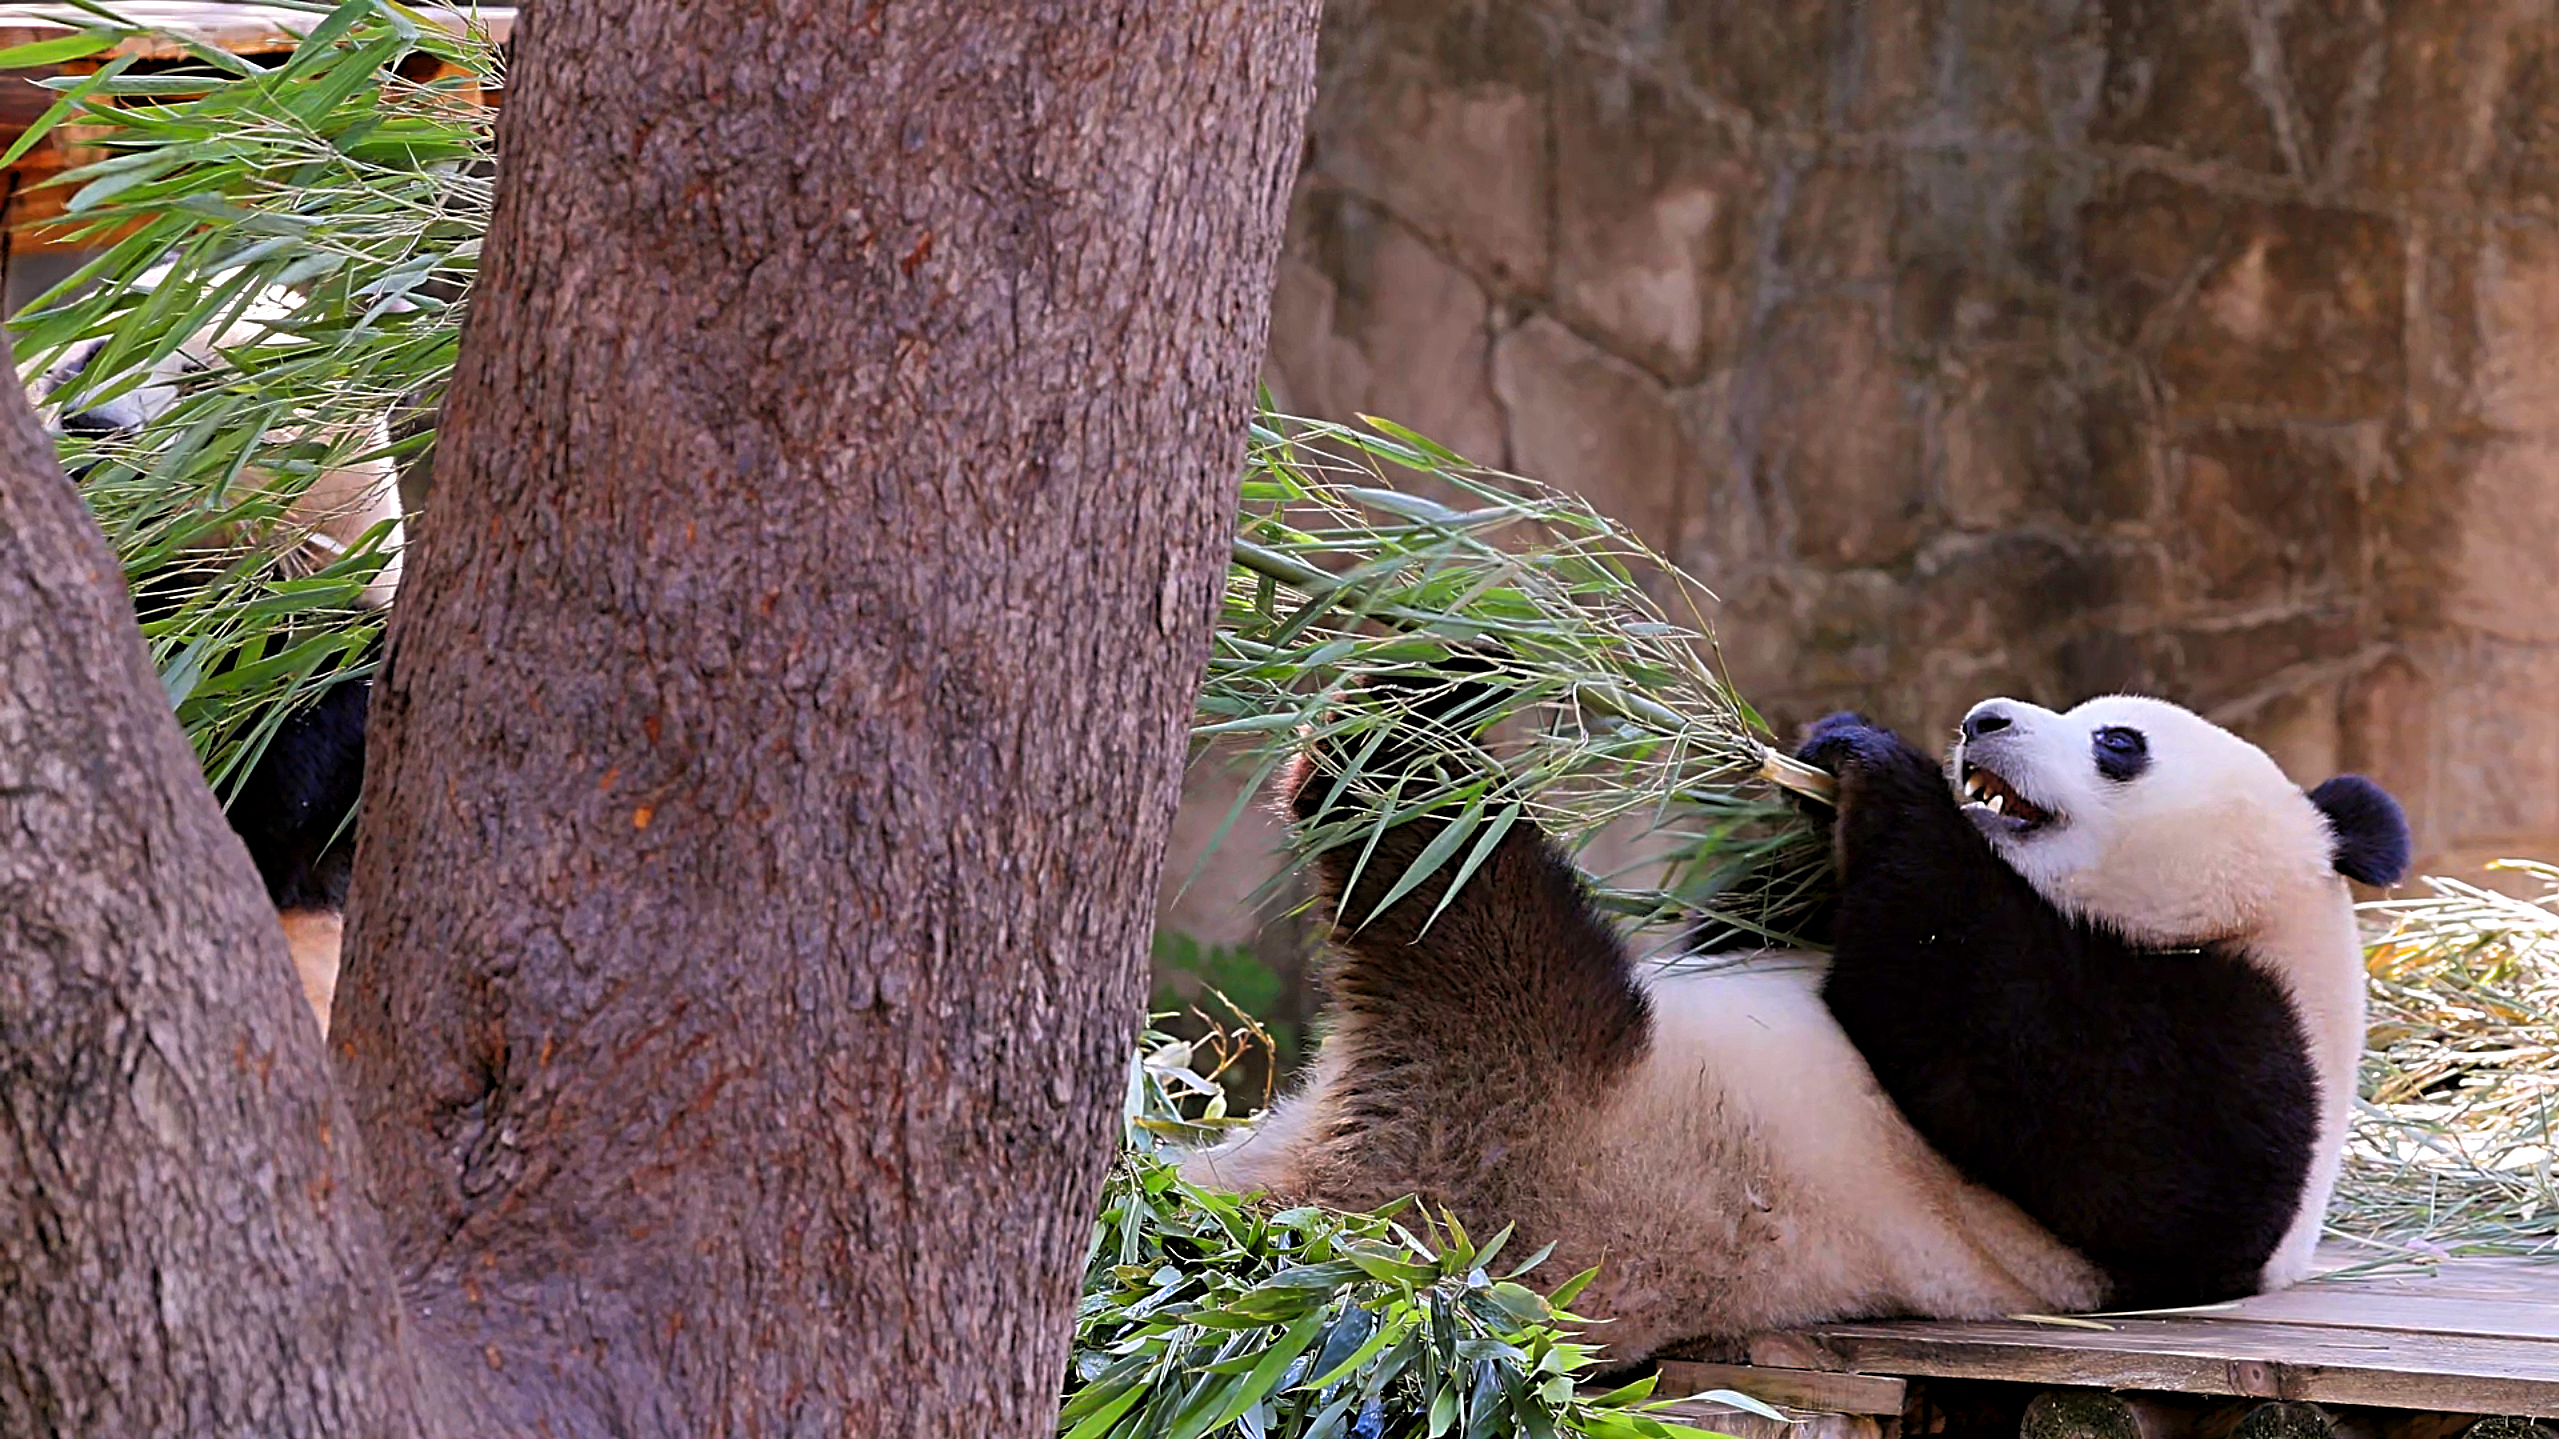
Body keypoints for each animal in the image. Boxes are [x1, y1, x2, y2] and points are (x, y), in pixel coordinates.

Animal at [1183, 689, 2408, 1363]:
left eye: (2118, 742)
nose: (1983, 720)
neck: (2261, 918)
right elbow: (1745, 920)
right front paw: (1819, 769)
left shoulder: (2249, 1046)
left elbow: (2096, 1112)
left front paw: (1884, 777)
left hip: (1537, 1135)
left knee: (1462, 903)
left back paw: (1406, 730)